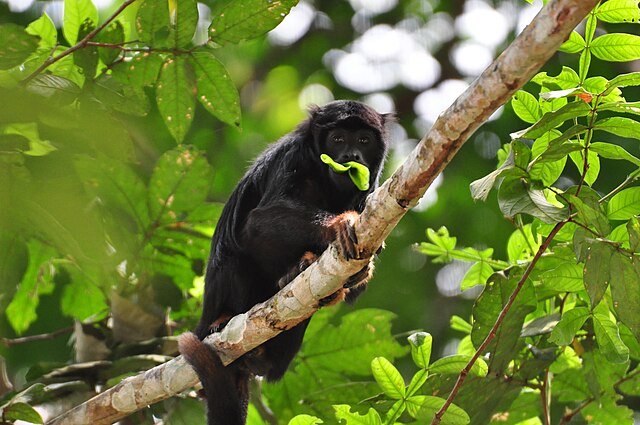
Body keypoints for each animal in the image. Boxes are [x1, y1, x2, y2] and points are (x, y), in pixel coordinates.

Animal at [178, 100, 392, 424]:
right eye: (338, 139)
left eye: (364, 141)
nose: (351, 157)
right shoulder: (293, 157)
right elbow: (257, 222)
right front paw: (339, 225)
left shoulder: (371, 190)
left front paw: (361, 273)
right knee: (234, 257)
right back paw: (226, 316)